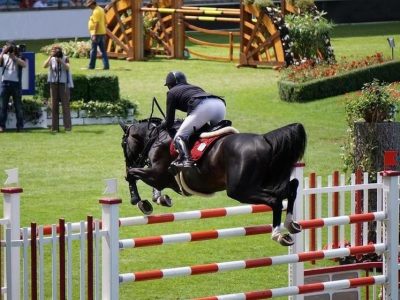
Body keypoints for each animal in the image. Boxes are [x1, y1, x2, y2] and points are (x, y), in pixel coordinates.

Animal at [119, 118, 306, 246]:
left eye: (123, 144)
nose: (129, 161)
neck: (157, 138)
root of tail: (265, 140)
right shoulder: (159, 177)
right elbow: (148, 183)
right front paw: (160, 198)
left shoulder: (157, 174)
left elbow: (132, 175)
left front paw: (140, 202)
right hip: (266, 182)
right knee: (292, 188)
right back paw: (291, 224)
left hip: (240, 190)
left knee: (275, 200)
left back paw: (278, 234)